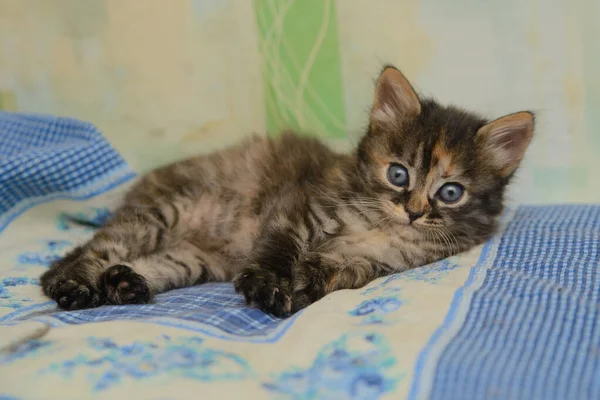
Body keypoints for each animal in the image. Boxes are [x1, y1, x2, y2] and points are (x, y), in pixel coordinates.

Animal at [38, 66, 536, 316]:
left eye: (450, 193)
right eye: (398, 175)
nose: (413, 211)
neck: (381, 225)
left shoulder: (363, 264)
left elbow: (324, 279)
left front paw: (295, 296)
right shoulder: (298, 210)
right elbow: (278, 251)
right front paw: (266, 285)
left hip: (191, 260)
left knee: (150, 264)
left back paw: (124, 284)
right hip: (164, 211)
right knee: (97, 247)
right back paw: (72, 284)